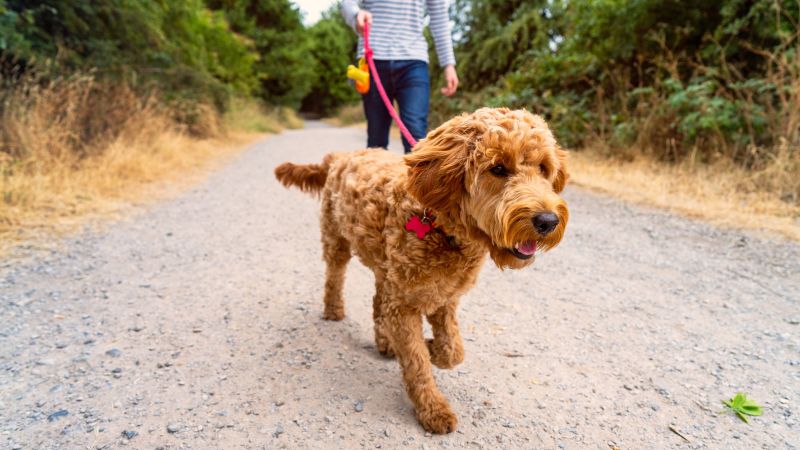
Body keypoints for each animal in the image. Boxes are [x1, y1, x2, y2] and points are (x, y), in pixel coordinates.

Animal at [274, 107, 568, 434]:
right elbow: (417, 362)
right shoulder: (404, 306)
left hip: (386, 269)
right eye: (498, 168)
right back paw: (334, 310)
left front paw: (431, 347)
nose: (547, 221)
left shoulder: (445, 299)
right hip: (337, 239)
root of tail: (340, 156)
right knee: (334, 276)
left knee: (378, 301)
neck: (440, 226)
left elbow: (454, 352)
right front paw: (433, 408)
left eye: (543, 168)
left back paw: (385, 341)